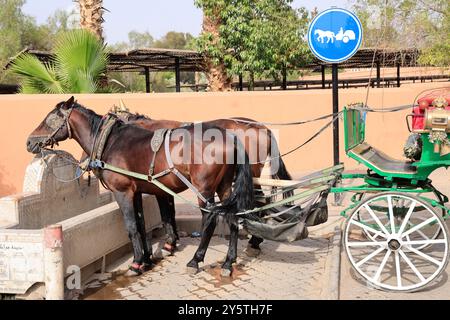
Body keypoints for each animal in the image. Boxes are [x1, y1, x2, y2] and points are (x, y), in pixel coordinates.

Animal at [26, 96, 255, 276]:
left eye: (50, 119)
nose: (29, 142)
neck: (110, 142)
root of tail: (230, 137)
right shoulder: (137, 193)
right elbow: (142, 224)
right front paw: (146, 259)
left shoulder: (123, 193)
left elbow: (132, 227)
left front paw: (136, 263)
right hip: (224, 188)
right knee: (232, 217)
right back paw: (228, 262)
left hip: (203, 189)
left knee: (210, 219)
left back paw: (196, 260)